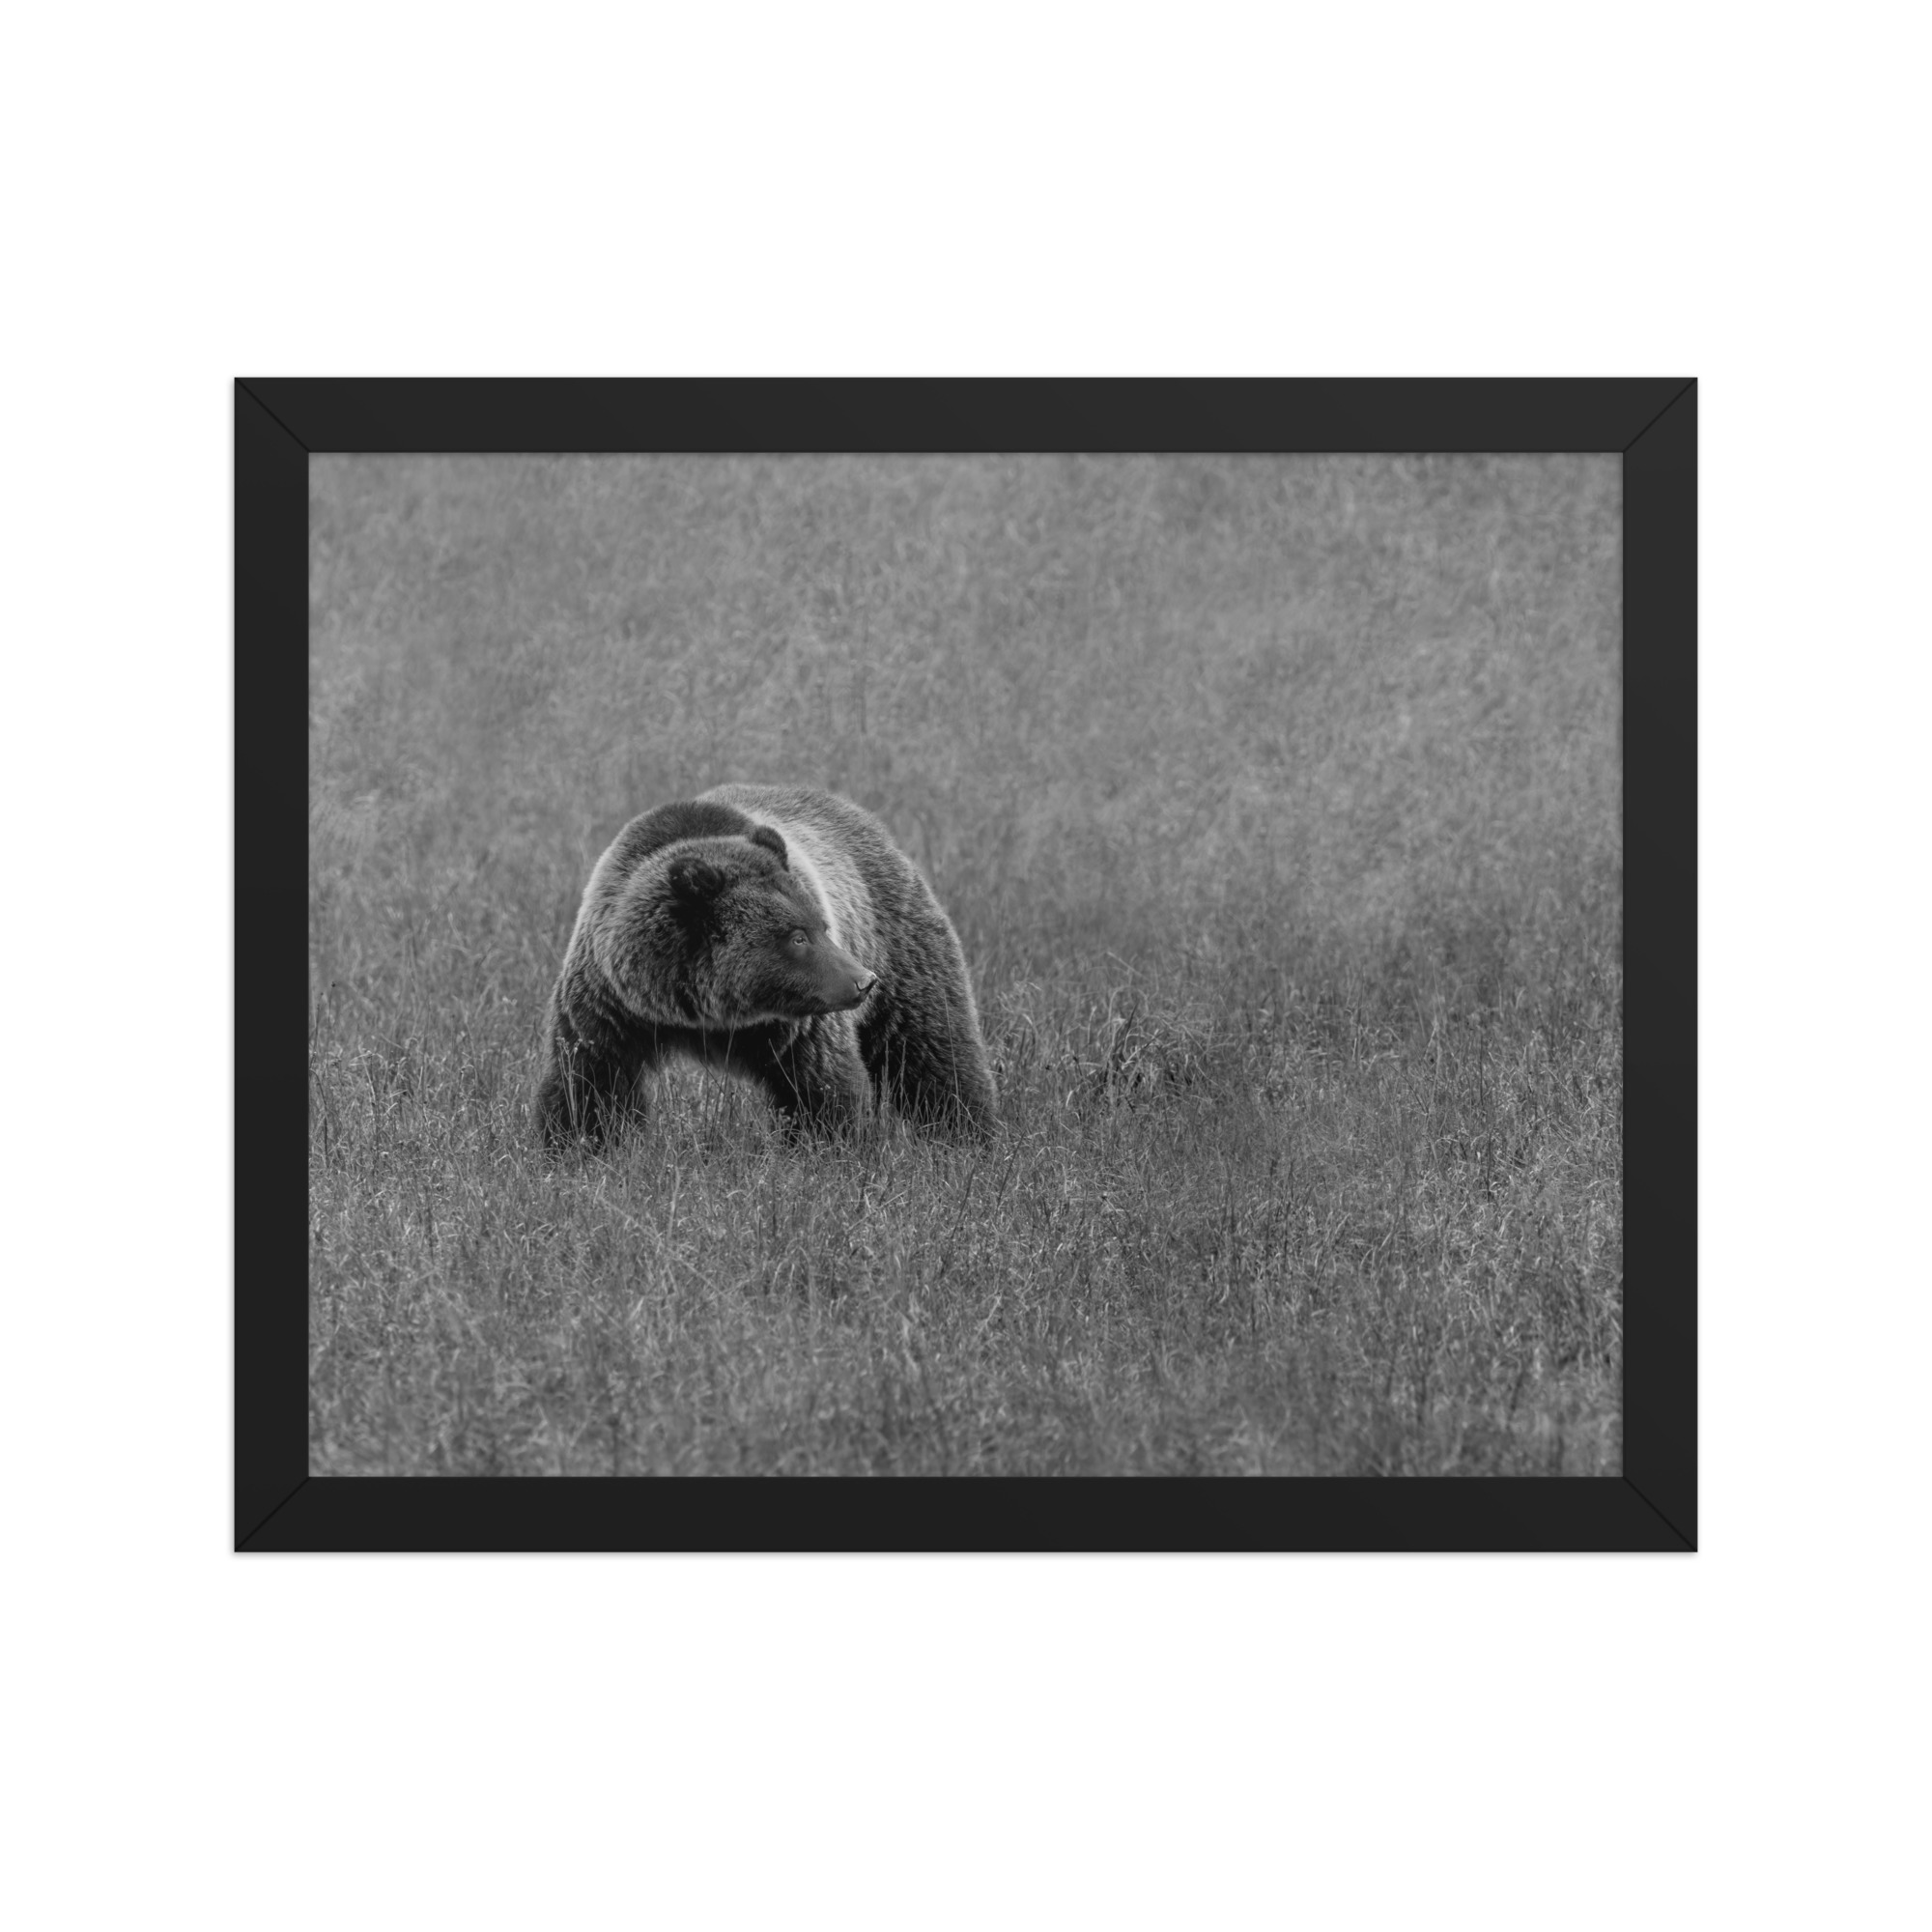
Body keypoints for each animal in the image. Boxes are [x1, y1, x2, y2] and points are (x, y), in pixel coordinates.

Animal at [535, 783, 997, 1148]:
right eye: (797, 936)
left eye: (821, 925)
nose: (863, 981)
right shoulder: (611, 1005)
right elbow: (590, 1084)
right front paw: (577, 1148)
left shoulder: (799, 1025)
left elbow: (821, 1088)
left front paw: (831, 1150)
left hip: (899, 944)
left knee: (933, 1050)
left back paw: (969, 1137)